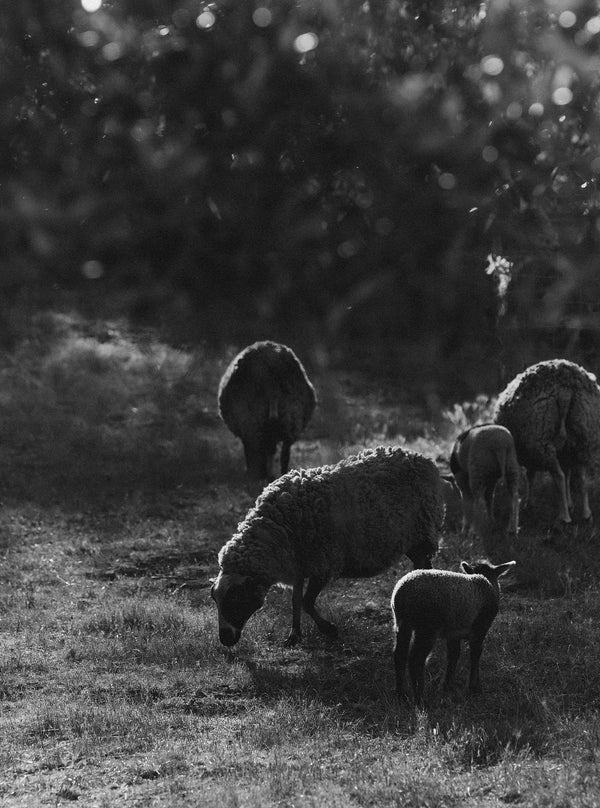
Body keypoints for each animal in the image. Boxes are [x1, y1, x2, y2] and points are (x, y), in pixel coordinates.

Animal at [211, 446, 447, 648]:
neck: (277, 527)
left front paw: (328, 629)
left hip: (422, 533)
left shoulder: (322, 564)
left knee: (425, 566)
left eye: (236, 599)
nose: (225, 639)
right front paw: (294, 635)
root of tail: (422, 458)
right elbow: (296, 601)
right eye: (215, 599)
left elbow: (306, 602)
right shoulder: (299, 565)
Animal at [391, 559, 515, 706]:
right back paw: (420, 699)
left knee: (399, 654)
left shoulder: (453, 633)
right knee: (416, 659)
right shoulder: (480, 628)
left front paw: (447, 686)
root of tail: (402, 594)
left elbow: (453, 655)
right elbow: (475, 654)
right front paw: (474, 687)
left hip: (402, 623)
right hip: (427, 627)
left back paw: (401, 695)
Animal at [494, 359, 600, 524]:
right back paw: (586, 514)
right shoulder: (564, 453)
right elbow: (568, 474)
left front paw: (529, 504)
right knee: (581, 479)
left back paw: (564, 517)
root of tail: (565, 392)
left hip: (541, 442)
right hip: (584, 437)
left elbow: (530, 476)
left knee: (559, 477)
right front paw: (570, 504)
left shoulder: (530, 452)